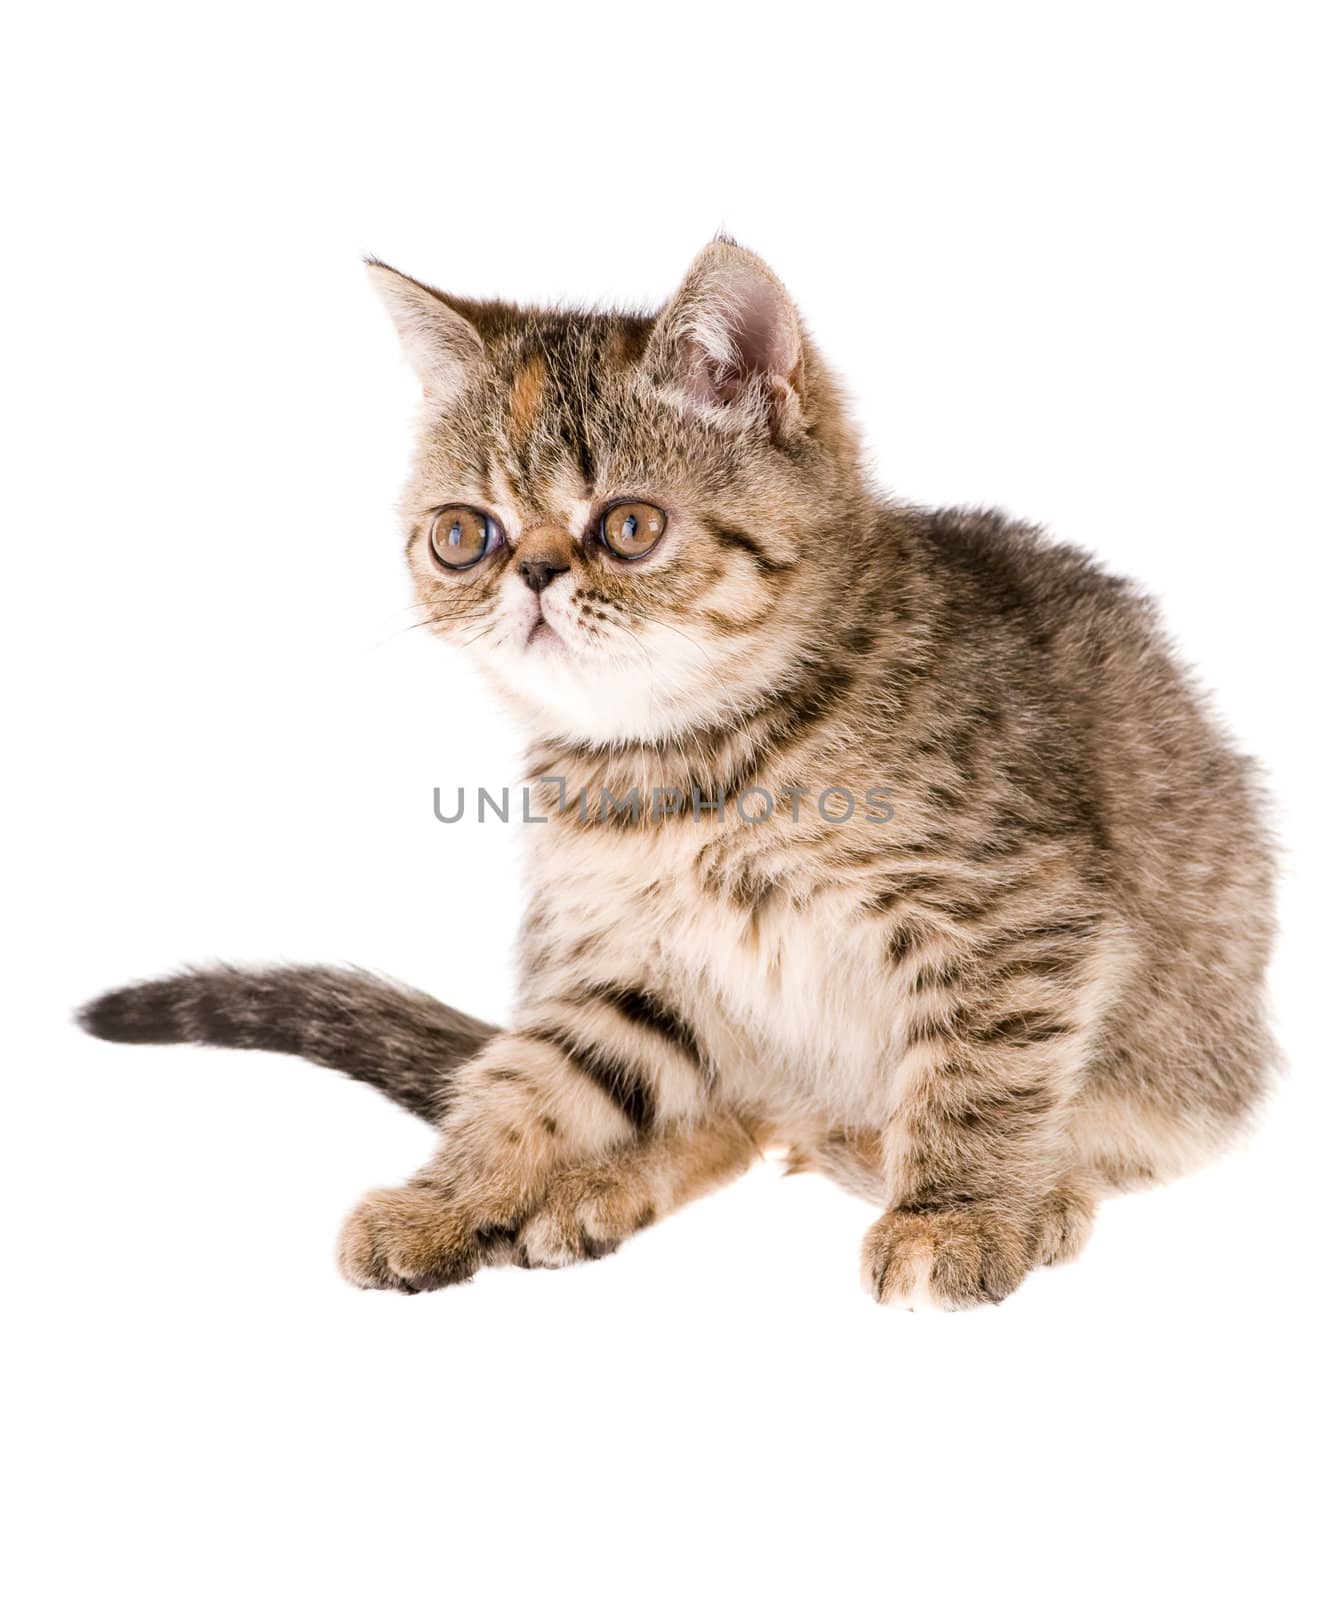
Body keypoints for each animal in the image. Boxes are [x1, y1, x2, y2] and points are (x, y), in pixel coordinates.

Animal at [77, 240, 1274, 1312]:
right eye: (464, 535)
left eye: (628, 525)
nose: (531, 573)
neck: (686, 763)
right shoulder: (633, 955)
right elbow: (538, 1076)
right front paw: (454, 1193)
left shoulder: (1010, 911)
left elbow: (980, 1070)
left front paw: (958, 1213)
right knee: (723, 1116)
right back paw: (604, 1184)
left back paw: (1031, 1190)